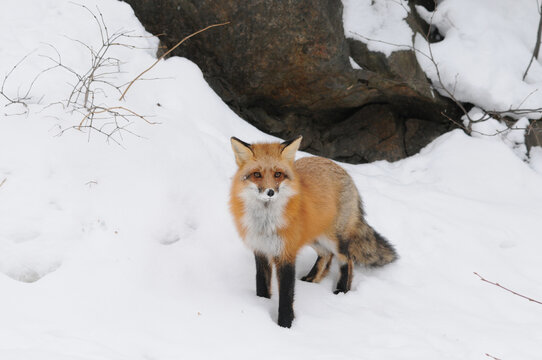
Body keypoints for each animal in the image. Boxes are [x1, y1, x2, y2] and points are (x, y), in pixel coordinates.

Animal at [230, 136, 400, 328]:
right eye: (257, 174)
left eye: (278, 174)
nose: (270, 192)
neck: (266, 223)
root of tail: (340, 167)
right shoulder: (261, 250)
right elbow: (262, 284)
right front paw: (261, 304)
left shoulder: (286, 253)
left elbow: (286, 295)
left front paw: (285, 325)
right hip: (313, 236)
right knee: (326, 255)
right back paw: (312, 279)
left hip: (334, 239)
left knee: (347, 260)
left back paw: (342, 291)